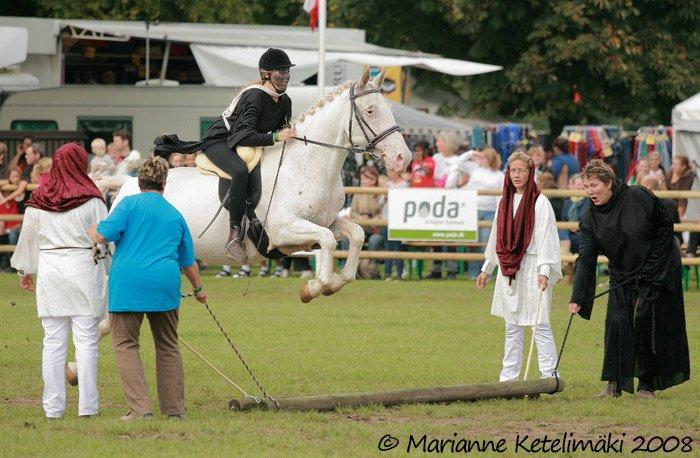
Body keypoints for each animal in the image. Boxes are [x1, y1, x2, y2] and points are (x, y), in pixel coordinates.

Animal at [108, 64, 410, 300]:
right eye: (370, 111)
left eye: (389, 108)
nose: (402, 158)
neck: (308, 164)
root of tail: (128, 183)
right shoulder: (283, 229)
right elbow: (327, 242)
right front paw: (314, 287)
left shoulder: (324, 220)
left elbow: (355, 235)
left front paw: (331, 282)